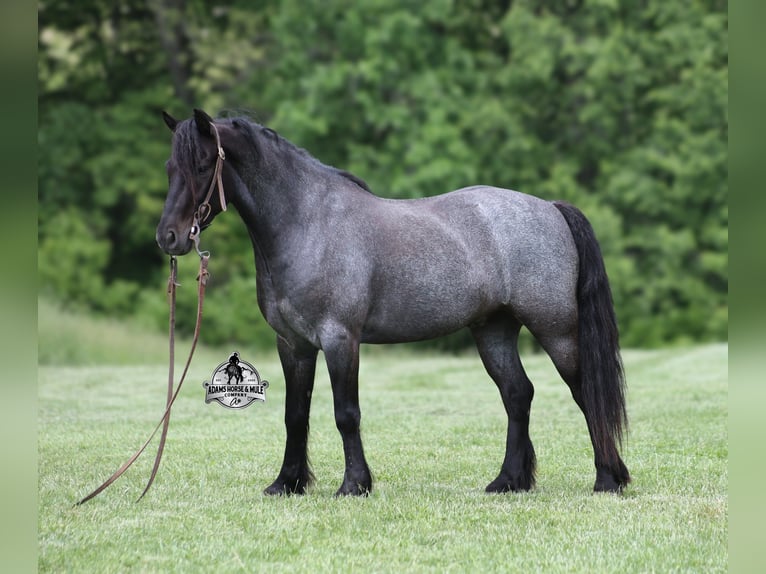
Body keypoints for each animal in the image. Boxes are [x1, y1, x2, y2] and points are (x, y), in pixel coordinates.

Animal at [156, 109, 630, 497]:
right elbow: (295, 414)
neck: (307, 224)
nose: (169, 237)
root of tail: (550, 208)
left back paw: (608, 479)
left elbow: (346, 413)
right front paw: (287, 483)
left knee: (584, 391)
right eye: (169, 168)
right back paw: (508, 481)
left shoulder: (340, 339)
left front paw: (354, 485)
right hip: (494, 330)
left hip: (556, 329)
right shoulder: (293, 344)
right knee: (518, 394)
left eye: (203, 164)